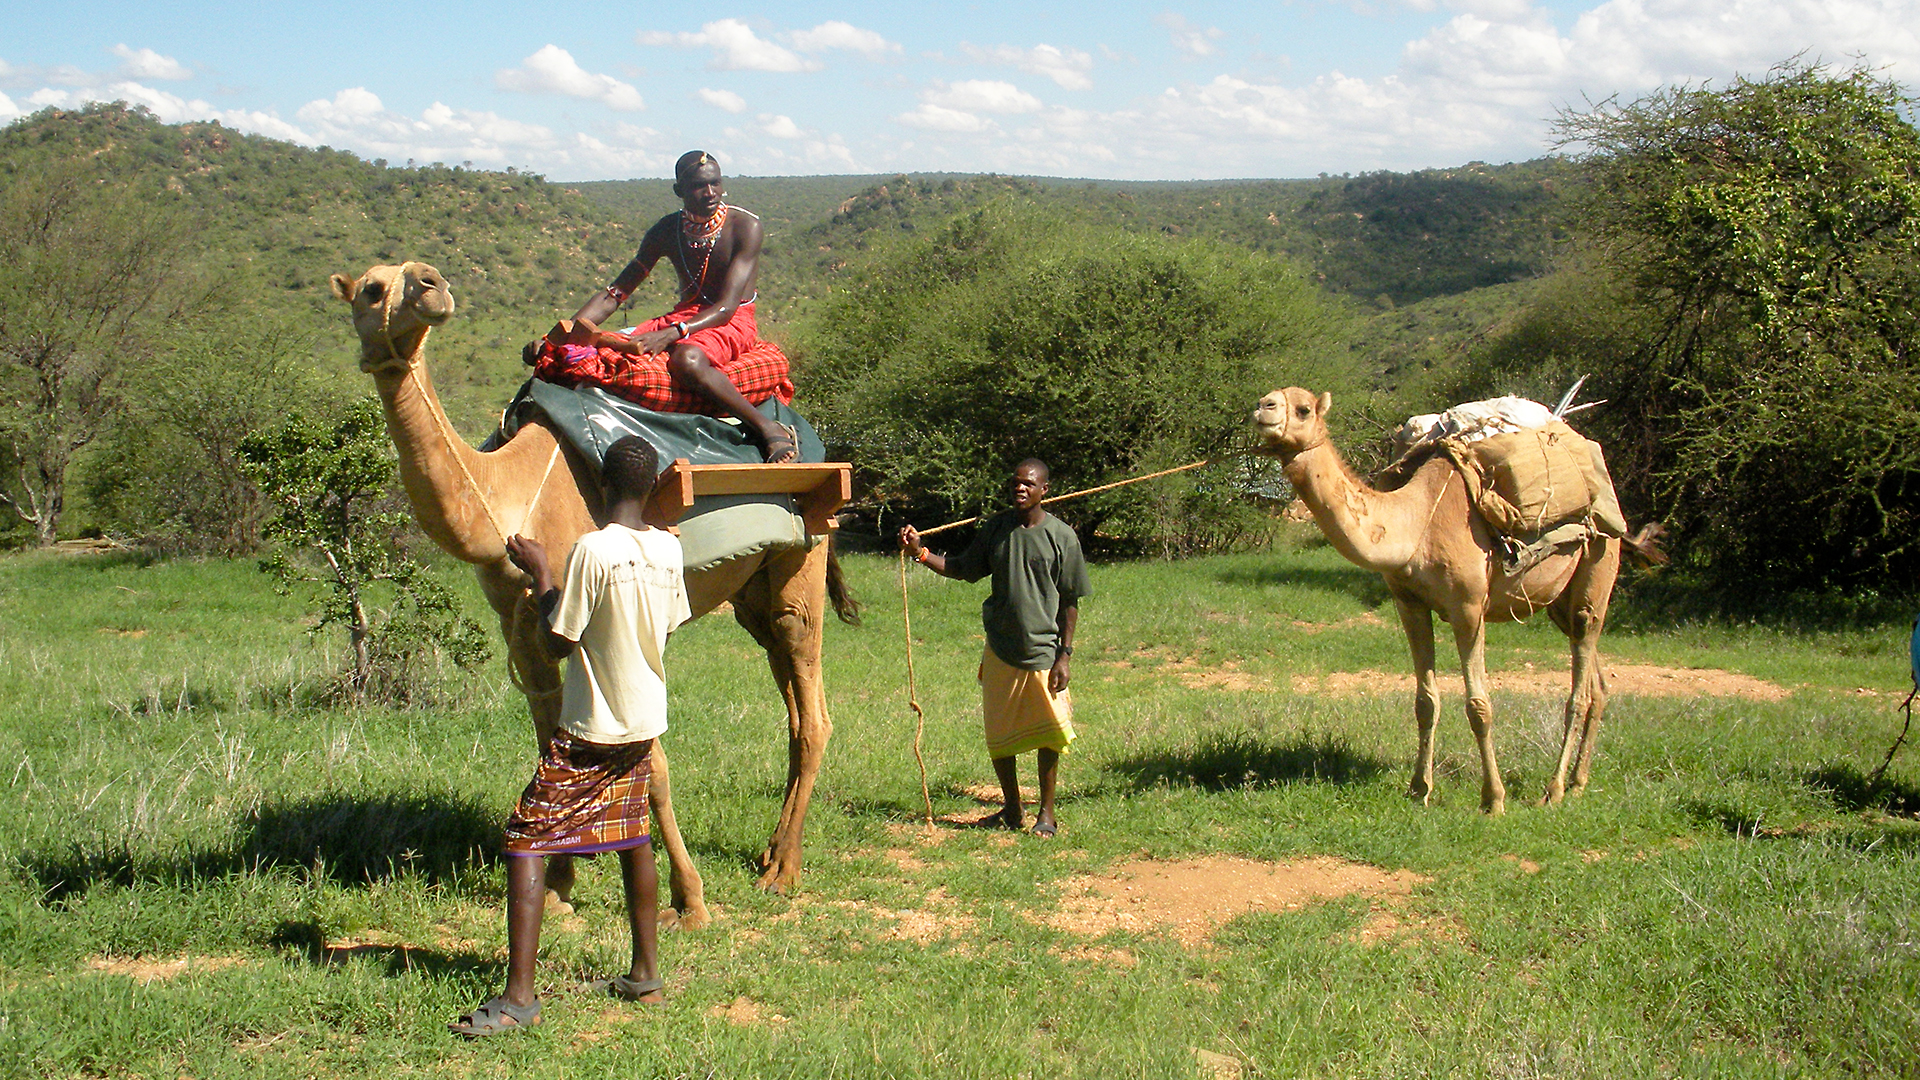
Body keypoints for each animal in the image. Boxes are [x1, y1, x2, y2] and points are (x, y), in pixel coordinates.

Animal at [329, 261, 851, 915]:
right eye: (372, 289)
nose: (430, 285)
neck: (508, 495)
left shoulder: (608, 617)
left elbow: (649, 765)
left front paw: (688, 900)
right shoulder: (522, 629)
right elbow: (550, 741)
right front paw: (556, 887)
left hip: (804, 556)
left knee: (813, 705)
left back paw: (781, 872)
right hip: (752, 595)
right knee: (793, 705)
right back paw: (775, 852)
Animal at [1252, 387, 1621, 813]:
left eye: (1303, 409)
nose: (1263, 408)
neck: (1417, 524)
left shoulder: (1469, 607)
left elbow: (1479, 705)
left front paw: (1493, 799)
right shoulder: (1409, 603)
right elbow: (1425, 701)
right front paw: (1418, 789)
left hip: (1600, 559)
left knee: (1580, 684)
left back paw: (1555, 789)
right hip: (1560, 600)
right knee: (1596, 681)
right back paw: (1578, 782)